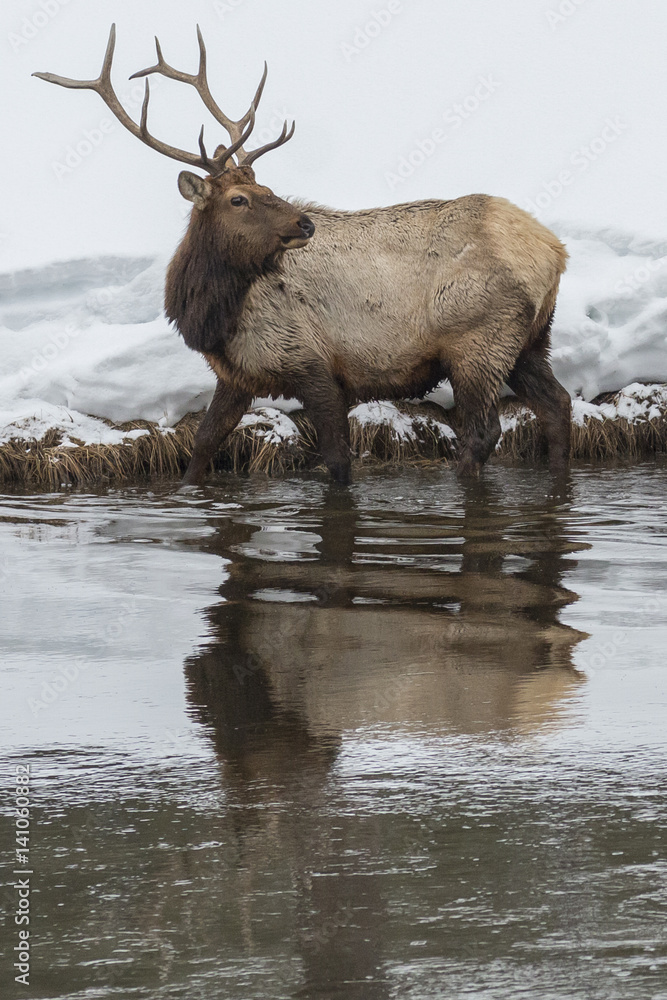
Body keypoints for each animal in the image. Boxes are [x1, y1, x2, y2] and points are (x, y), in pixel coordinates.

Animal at [34, 27, 572, 484]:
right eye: (240, 199)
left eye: (265, 188)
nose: (305, 223)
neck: (214, 315)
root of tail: (554, 251)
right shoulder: (238, 374)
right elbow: (203, 447)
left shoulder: (311, 362)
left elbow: (336, 462)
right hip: (529, 341)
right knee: (559, 405)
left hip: (477, 338)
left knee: (484, 432)